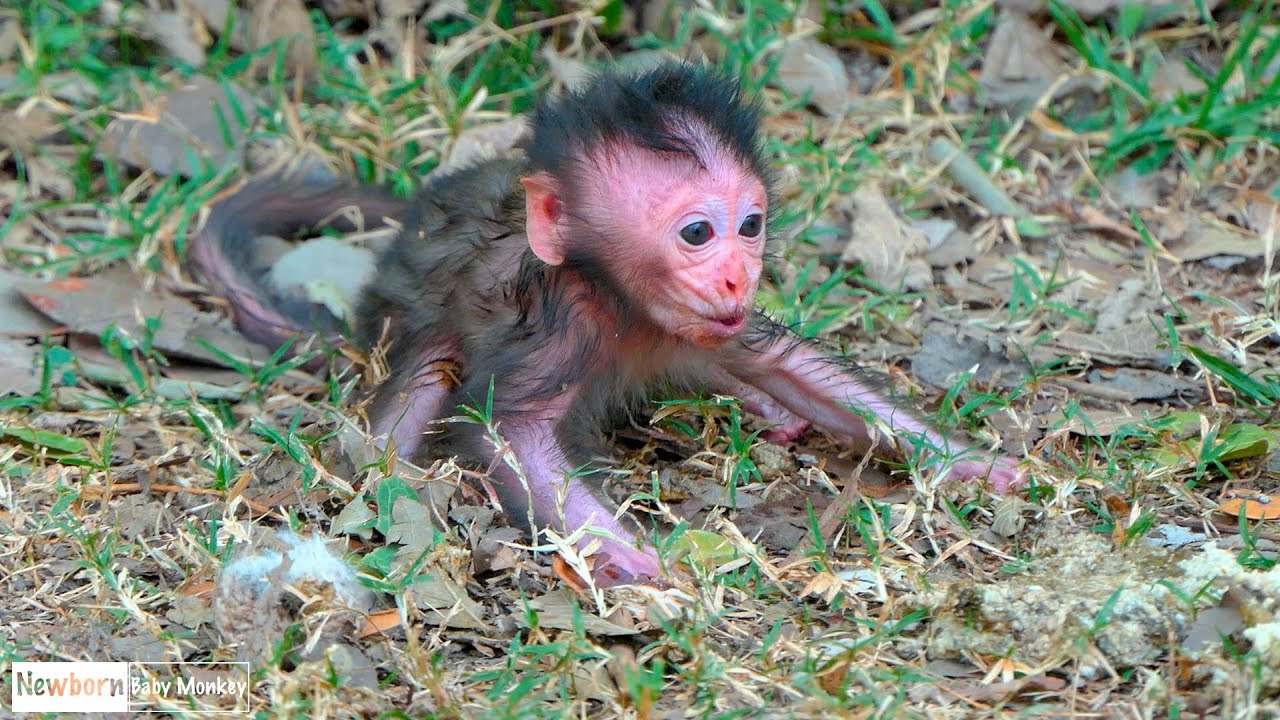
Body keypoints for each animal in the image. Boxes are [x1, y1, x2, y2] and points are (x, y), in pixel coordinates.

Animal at [190, 63, 1025, 586]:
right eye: (697, 233)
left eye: (750, 225)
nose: (737, 273)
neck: (622, 299)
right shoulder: (565, 321)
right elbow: (511, 431)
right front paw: (641, 558)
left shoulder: (705, 321)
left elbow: (785, 361)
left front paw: (970, 465)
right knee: (422, 386)